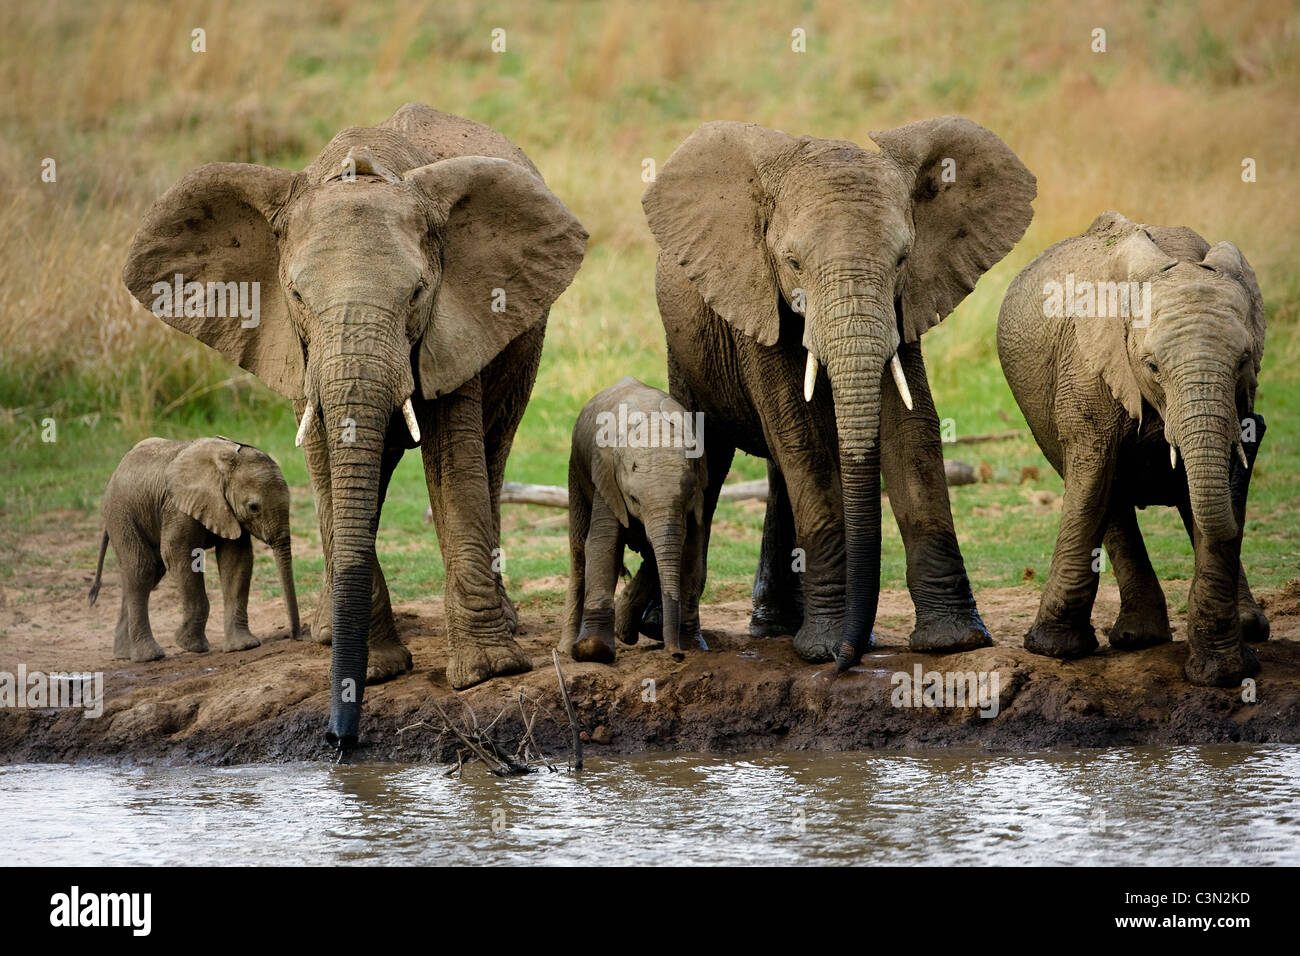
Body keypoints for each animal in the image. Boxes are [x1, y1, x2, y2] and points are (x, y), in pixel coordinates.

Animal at [89, 437, 301, 660]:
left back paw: (124, 654)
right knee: (141, 569)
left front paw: (243, 646)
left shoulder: (229, 511)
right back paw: (150, 656)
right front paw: (191, 646)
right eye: (253, 507)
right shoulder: (178, 506)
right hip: (121, 512)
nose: (295, 636)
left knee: (145, 573)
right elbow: (177, 554)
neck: (224, 464)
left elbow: (236, 560)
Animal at [122, 104, 590, 749]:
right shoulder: (296, 348)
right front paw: (380, 671)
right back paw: (326, 633)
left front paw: (488, 673)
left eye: (417, 292)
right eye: (294, 294)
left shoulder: (456, 320)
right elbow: (324, 462)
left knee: (492, 456)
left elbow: (455, 466)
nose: (339, 738)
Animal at [556, 377, 707, 660]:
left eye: (688, 496)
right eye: (634, 498)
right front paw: (594, 651)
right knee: (579, 552)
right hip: (576, 470)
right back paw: (566, 647)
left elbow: (692, 549)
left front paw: (694, 646)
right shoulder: (606, 475)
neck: (653, 426)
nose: (675, 654)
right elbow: (603, 544)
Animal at [637, 119, 1034, 671]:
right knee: (709, 459)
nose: (850, 657)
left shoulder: (905, 306)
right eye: (792, 263)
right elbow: (801, 435)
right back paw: (667, 631)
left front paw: (954, 640)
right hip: (687, 349)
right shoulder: (757, 303)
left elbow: (912, 431)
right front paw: (824, 649)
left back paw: (778, 628)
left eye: (903, 259)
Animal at [993, 212, 1268, 686]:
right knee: (1106, 495)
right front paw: (1051, 649)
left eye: (1242, 362)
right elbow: (1092, 478)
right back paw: (1138, 638)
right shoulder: (1087, 369)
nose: (1258, 427)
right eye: (1152, 366)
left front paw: (1223, 672)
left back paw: (1248, 626)